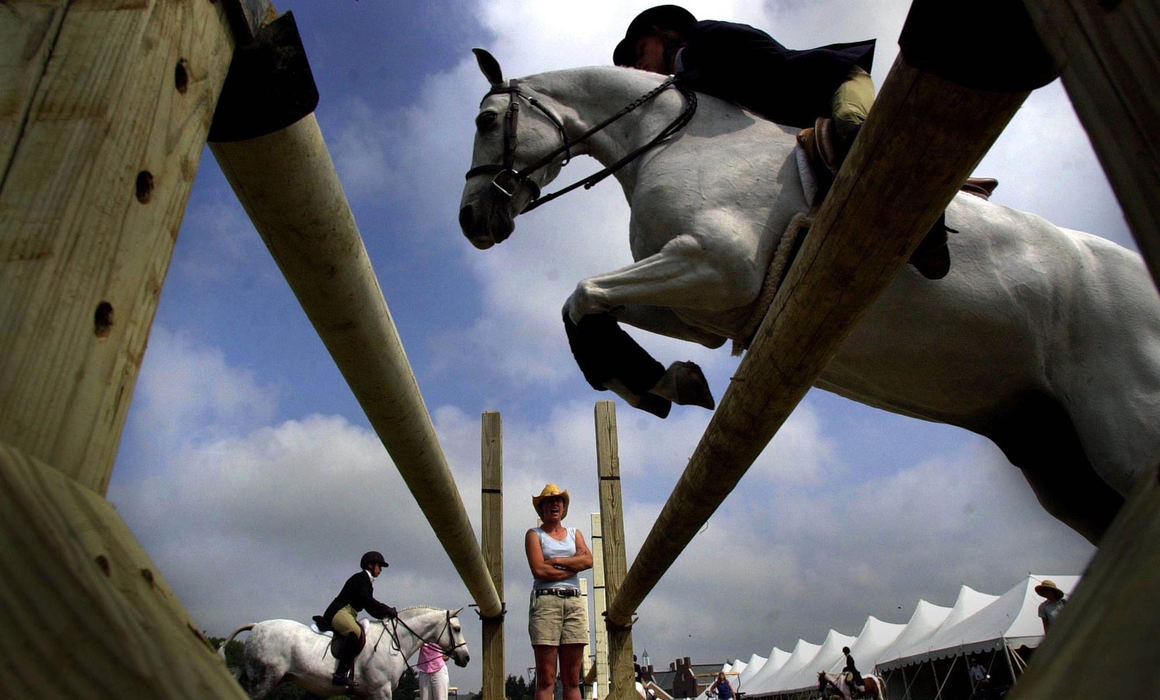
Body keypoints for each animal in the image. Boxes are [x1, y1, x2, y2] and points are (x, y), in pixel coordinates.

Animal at [219, 603, 468, 696]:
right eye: (456, 629)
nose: (465, 658)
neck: (393, 643)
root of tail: (256, 626)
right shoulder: (381, 690)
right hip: (265, 680)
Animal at [454, 50, 1160, 547]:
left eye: (486, 120)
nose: (472, 221)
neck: (666, 139)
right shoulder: (704, 305)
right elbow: (582, 305)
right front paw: (665, 381)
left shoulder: (717, 265)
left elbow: (582, 293)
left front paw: (653, 384)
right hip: (1053, 457)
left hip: (1123, 424)